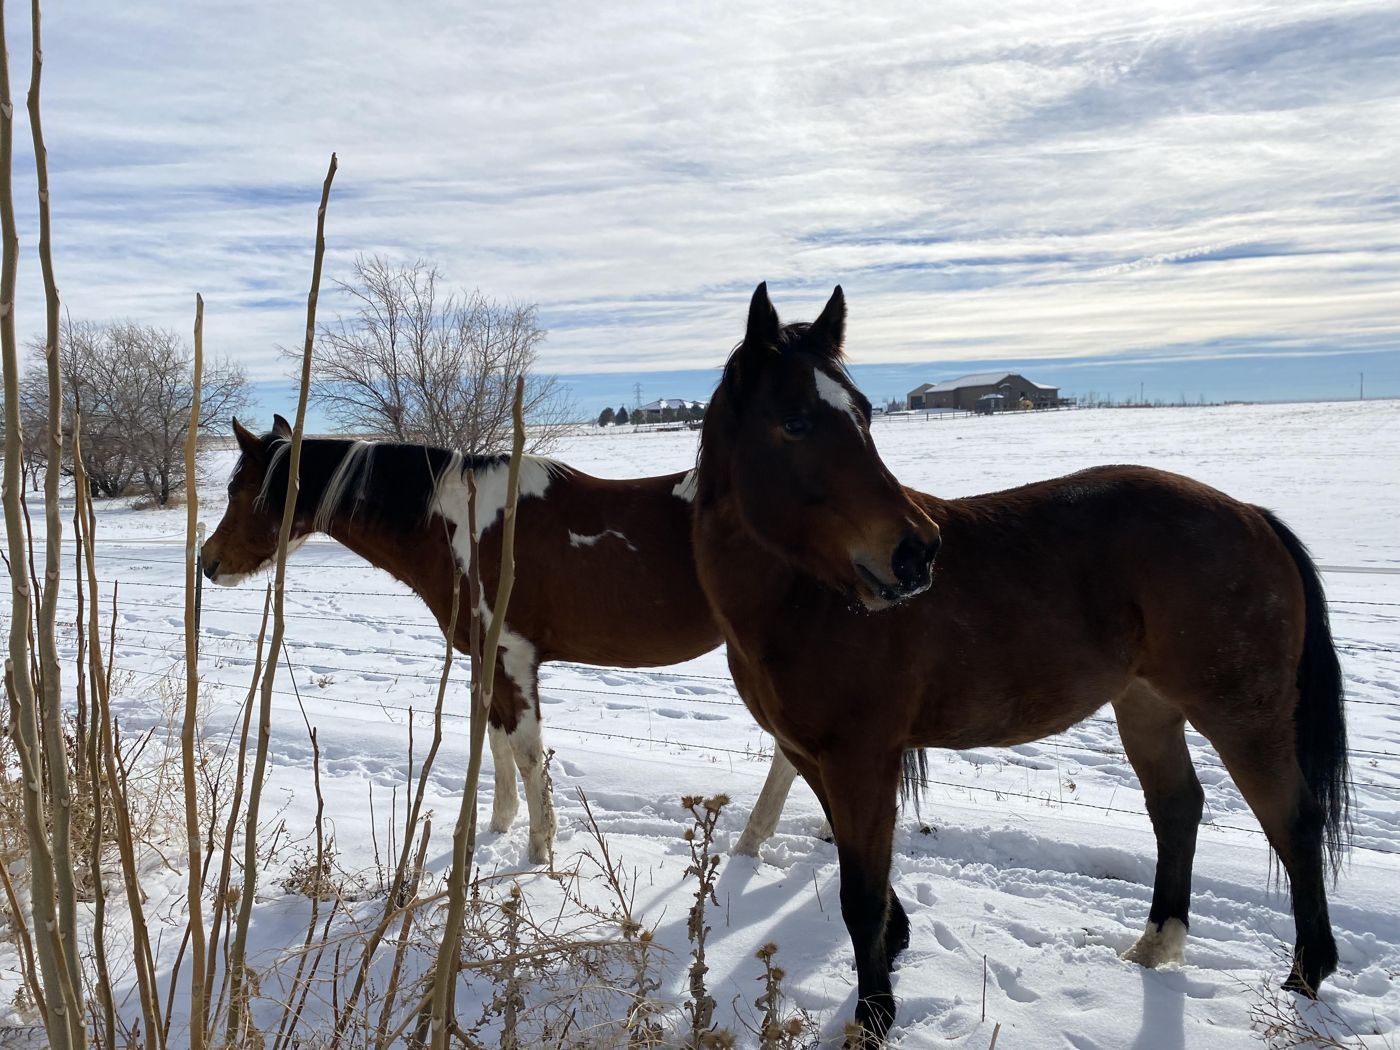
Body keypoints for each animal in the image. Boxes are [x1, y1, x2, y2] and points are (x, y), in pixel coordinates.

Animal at [202, 416, 730, 863]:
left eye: (238, 490)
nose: (207, 561)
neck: (464, 526)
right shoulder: (484, 657)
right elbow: (496, 740)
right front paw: (500, 826)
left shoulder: (513, 656)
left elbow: (526, 752)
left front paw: (539, 852)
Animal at [690, 283, 1351, 1045]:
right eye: (794, 423)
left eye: (863, 416)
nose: (917, 552)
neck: (810, 597)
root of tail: (1249, 514)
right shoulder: (813, 755)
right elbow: (868, 878)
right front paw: (895, 949)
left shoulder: (859, 758)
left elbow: (861, 892)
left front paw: (875, 1014)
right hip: (1148, 707)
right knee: (1178, 806)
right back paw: (1154, 947)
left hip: (1242, 716)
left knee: (1293, 822)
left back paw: (1305, 978)